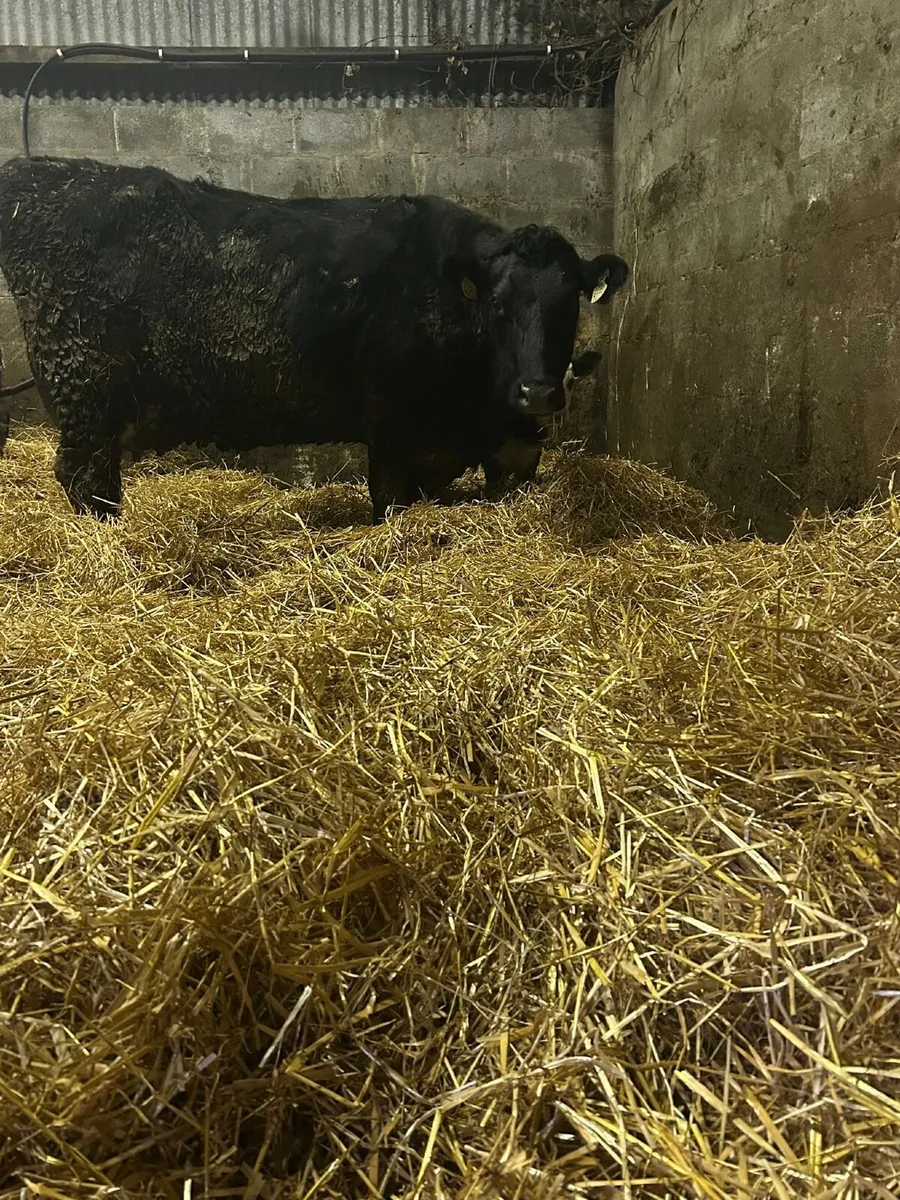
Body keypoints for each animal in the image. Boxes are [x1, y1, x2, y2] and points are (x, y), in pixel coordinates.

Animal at [0, 155, 629, 523]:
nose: (538, 393)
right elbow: (390, 497)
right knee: (86, 480)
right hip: (85, 391)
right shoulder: (391, 423)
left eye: (570, 302)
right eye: (499, 305)